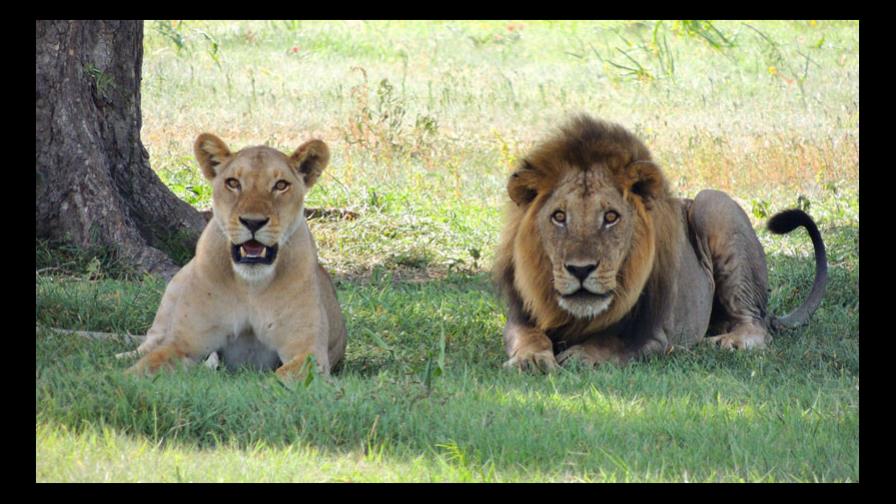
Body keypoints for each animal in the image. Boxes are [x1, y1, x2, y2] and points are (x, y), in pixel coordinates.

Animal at [126, 133, 347, 379]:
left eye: (280, 185)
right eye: (233, 183)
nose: (253, 222)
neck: (251, 285)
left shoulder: (308, 352)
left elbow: (283, 376)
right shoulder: (184, 343)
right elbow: (145, 366)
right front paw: (119, 378)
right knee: (148, 342)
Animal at [494, 115, 827, 371]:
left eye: (611, 217)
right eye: (559, 216)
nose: (580, 270)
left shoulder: (656, 332)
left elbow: (614, 342)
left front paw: (581, 356)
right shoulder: (520, 317)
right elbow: (529, 336)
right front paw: (531, 359)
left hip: (713, 204)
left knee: (756, 328)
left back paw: (722, 343)